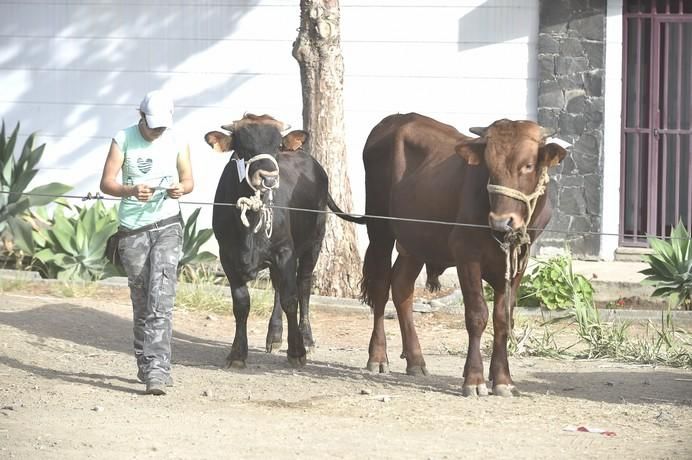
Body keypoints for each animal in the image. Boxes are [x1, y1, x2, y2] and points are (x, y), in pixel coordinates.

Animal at [205, 115, 346, 370]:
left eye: (277, 147)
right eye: (242, 148)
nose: (269, 178)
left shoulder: (285, 251)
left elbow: (291, 299)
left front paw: (297, 350)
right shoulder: (227, 255)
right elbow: (241, 304)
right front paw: (237, 353)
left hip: (314, 242)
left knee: (303, 286)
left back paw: (306, 337)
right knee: (279, 287)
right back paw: (275, 334)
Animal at [354, 113, 564, 398]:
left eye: (528, 165)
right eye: (489, 166)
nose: (502, 221)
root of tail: (395, 119)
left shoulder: (519, 260)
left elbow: (503, 319)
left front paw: (503, 379)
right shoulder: (466, 254)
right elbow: (477, 315)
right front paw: (474, 379)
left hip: (416, 241)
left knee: (401, 287)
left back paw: (416, 360)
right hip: (380, 229)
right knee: (380, 287)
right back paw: (377, 356)